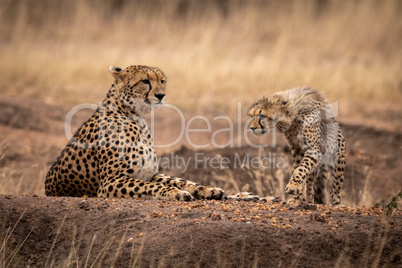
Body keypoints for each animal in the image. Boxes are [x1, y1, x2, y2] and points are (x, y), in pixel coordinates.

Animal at [45, 65, 225, 200]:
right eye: (145, 81)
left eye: (162, 81)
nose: (161, 95)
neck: (136, 117)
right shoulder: (109, 182)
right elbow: (151, 185)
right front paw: (175, 193)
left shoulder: (148, 173)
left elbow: (177, 180)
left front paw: (208, 190)